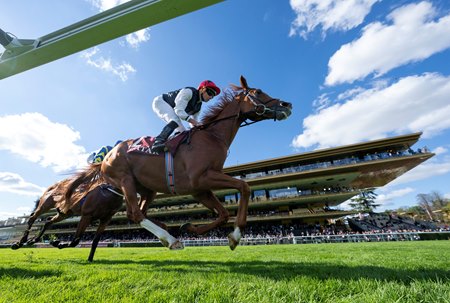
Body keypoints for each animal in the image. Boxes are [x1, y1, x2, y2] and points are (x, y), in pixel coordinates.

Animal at [66, 76, 292, 252]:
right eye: (258, 91)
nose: (287, 105)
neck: (212, 136)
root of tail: (106, 156)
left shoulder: (200, 189)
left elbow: (224, 213)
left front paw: (189, 227)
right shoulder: (202, 178)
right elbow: (244, 187)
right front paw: (235, 236)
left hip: (147, 189)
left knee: (138, 212)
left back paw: (168, 231)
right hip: (125, 179)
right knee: (136, 213)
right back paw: (171, 240)